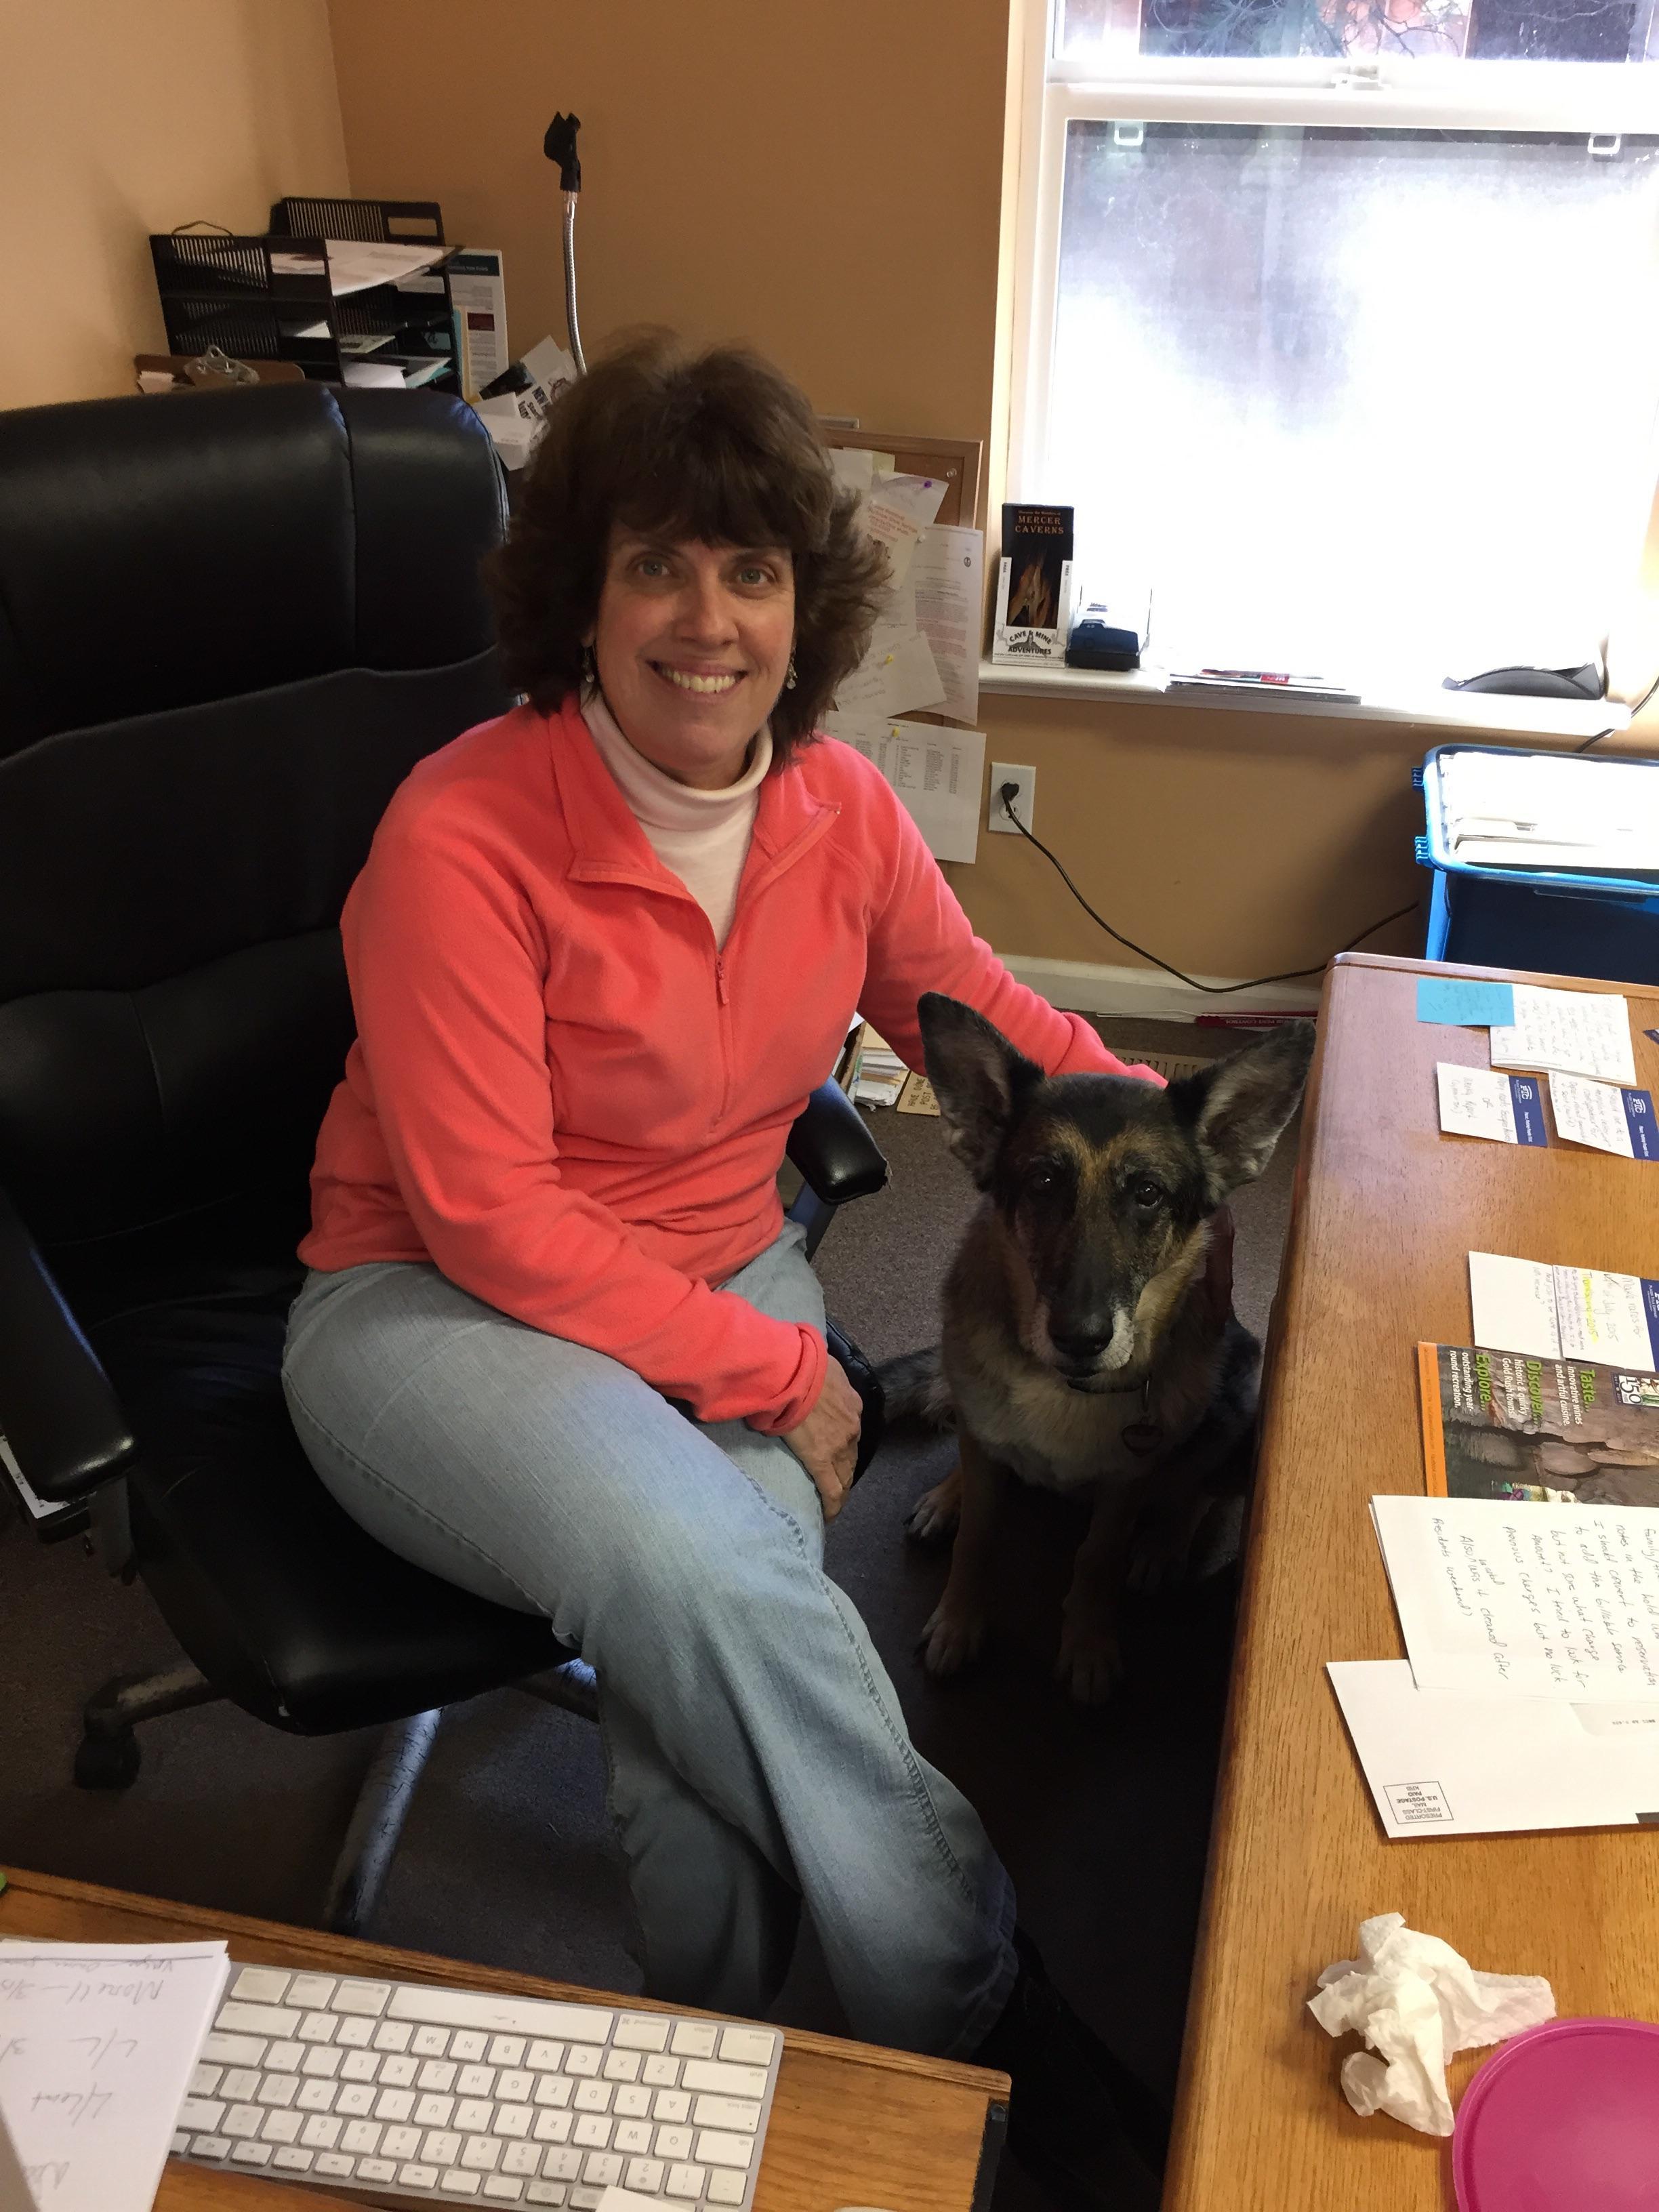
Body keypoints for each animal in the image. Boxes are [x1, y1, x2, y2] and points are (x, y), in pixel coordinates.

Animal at [884, 1004, 1309, 1707]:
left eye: (1148, 1193)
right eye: (1043, 1181)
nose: (1080, 1338)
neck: (1061, 1388)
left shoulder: (1124, 1486)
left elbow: (1097, 1558)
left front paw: (1087, 1643)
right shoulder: (986, 1447)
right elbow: (978, 1535)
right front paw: (958, 1619)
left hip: (1239, 1397)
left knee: (1200, 1488)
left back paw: (1163, 1545)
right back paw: (950, 1494)